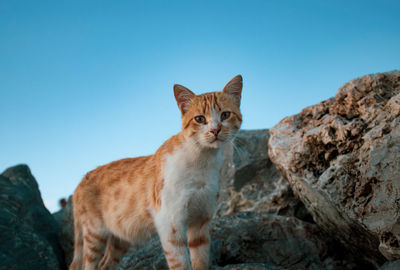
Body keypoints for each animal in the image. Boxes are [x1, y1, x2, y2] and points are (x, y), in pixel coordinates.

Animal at [69, 75, 242, 270]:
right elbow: (181, 264)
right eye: (199, 119)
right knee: (88, 264)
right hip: (94, 234)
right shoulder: (171, 225)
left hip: (120, 238)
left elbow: (201, 261)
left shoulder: (200, 223)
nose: (215, 130)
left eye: (225, 115)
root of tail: (80, 182)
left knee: (104, 264)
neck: (202, 162)